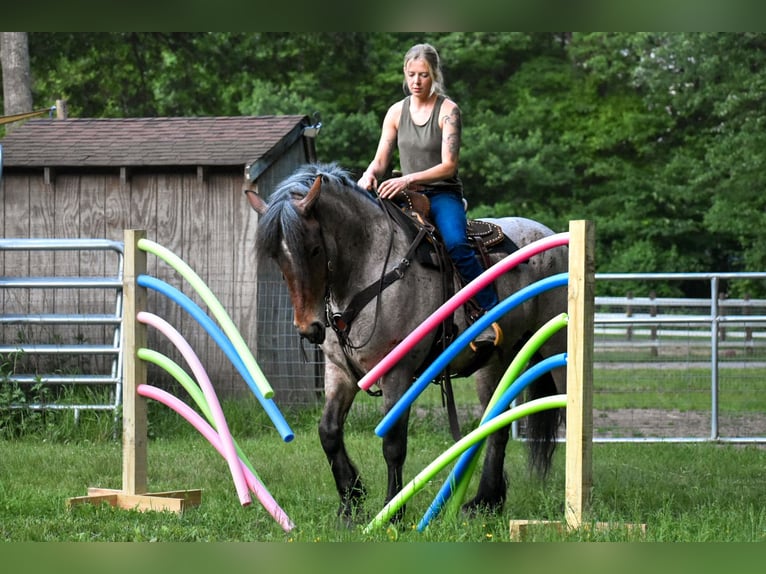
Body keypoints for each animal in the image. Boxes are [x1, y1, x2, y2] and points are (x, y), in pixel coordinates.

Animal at [248, 163, 568, 528]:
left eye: (314, 249)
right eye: (277, 256)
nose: (308, 328)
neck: (367, 270)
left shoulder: (397, 374)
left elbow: (393, 443)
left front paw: (393, 511)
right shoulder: (339, 371)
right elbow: (328, 432)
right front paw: (351, 502)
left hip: (554, 348)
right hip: (497, 361)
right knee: (496, 427)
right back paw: (485, 501)